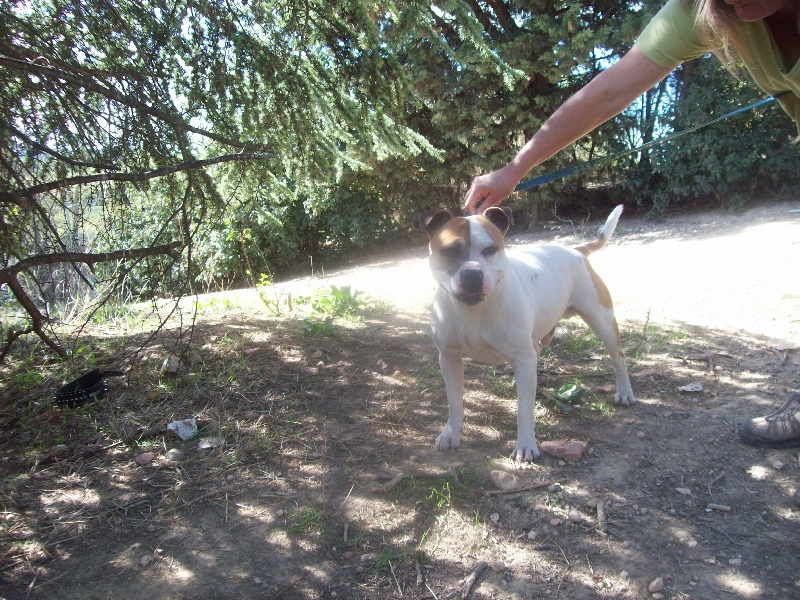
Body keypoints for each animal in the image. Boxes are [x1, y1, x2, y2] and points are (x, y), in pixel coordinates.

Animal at [421, 205, 635, 462]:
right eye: (450, 250)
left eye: (490, 250)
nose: (472, 275)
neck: (473, 310)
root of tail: (575, 250)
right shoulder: (449, 358)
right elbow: (454, 400)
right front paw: (451, 433)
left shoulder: (522, 357)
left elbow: (524, 409)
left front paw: (525, 444)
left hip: (602, 322)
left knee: (618, 358)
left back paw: (624, 392)